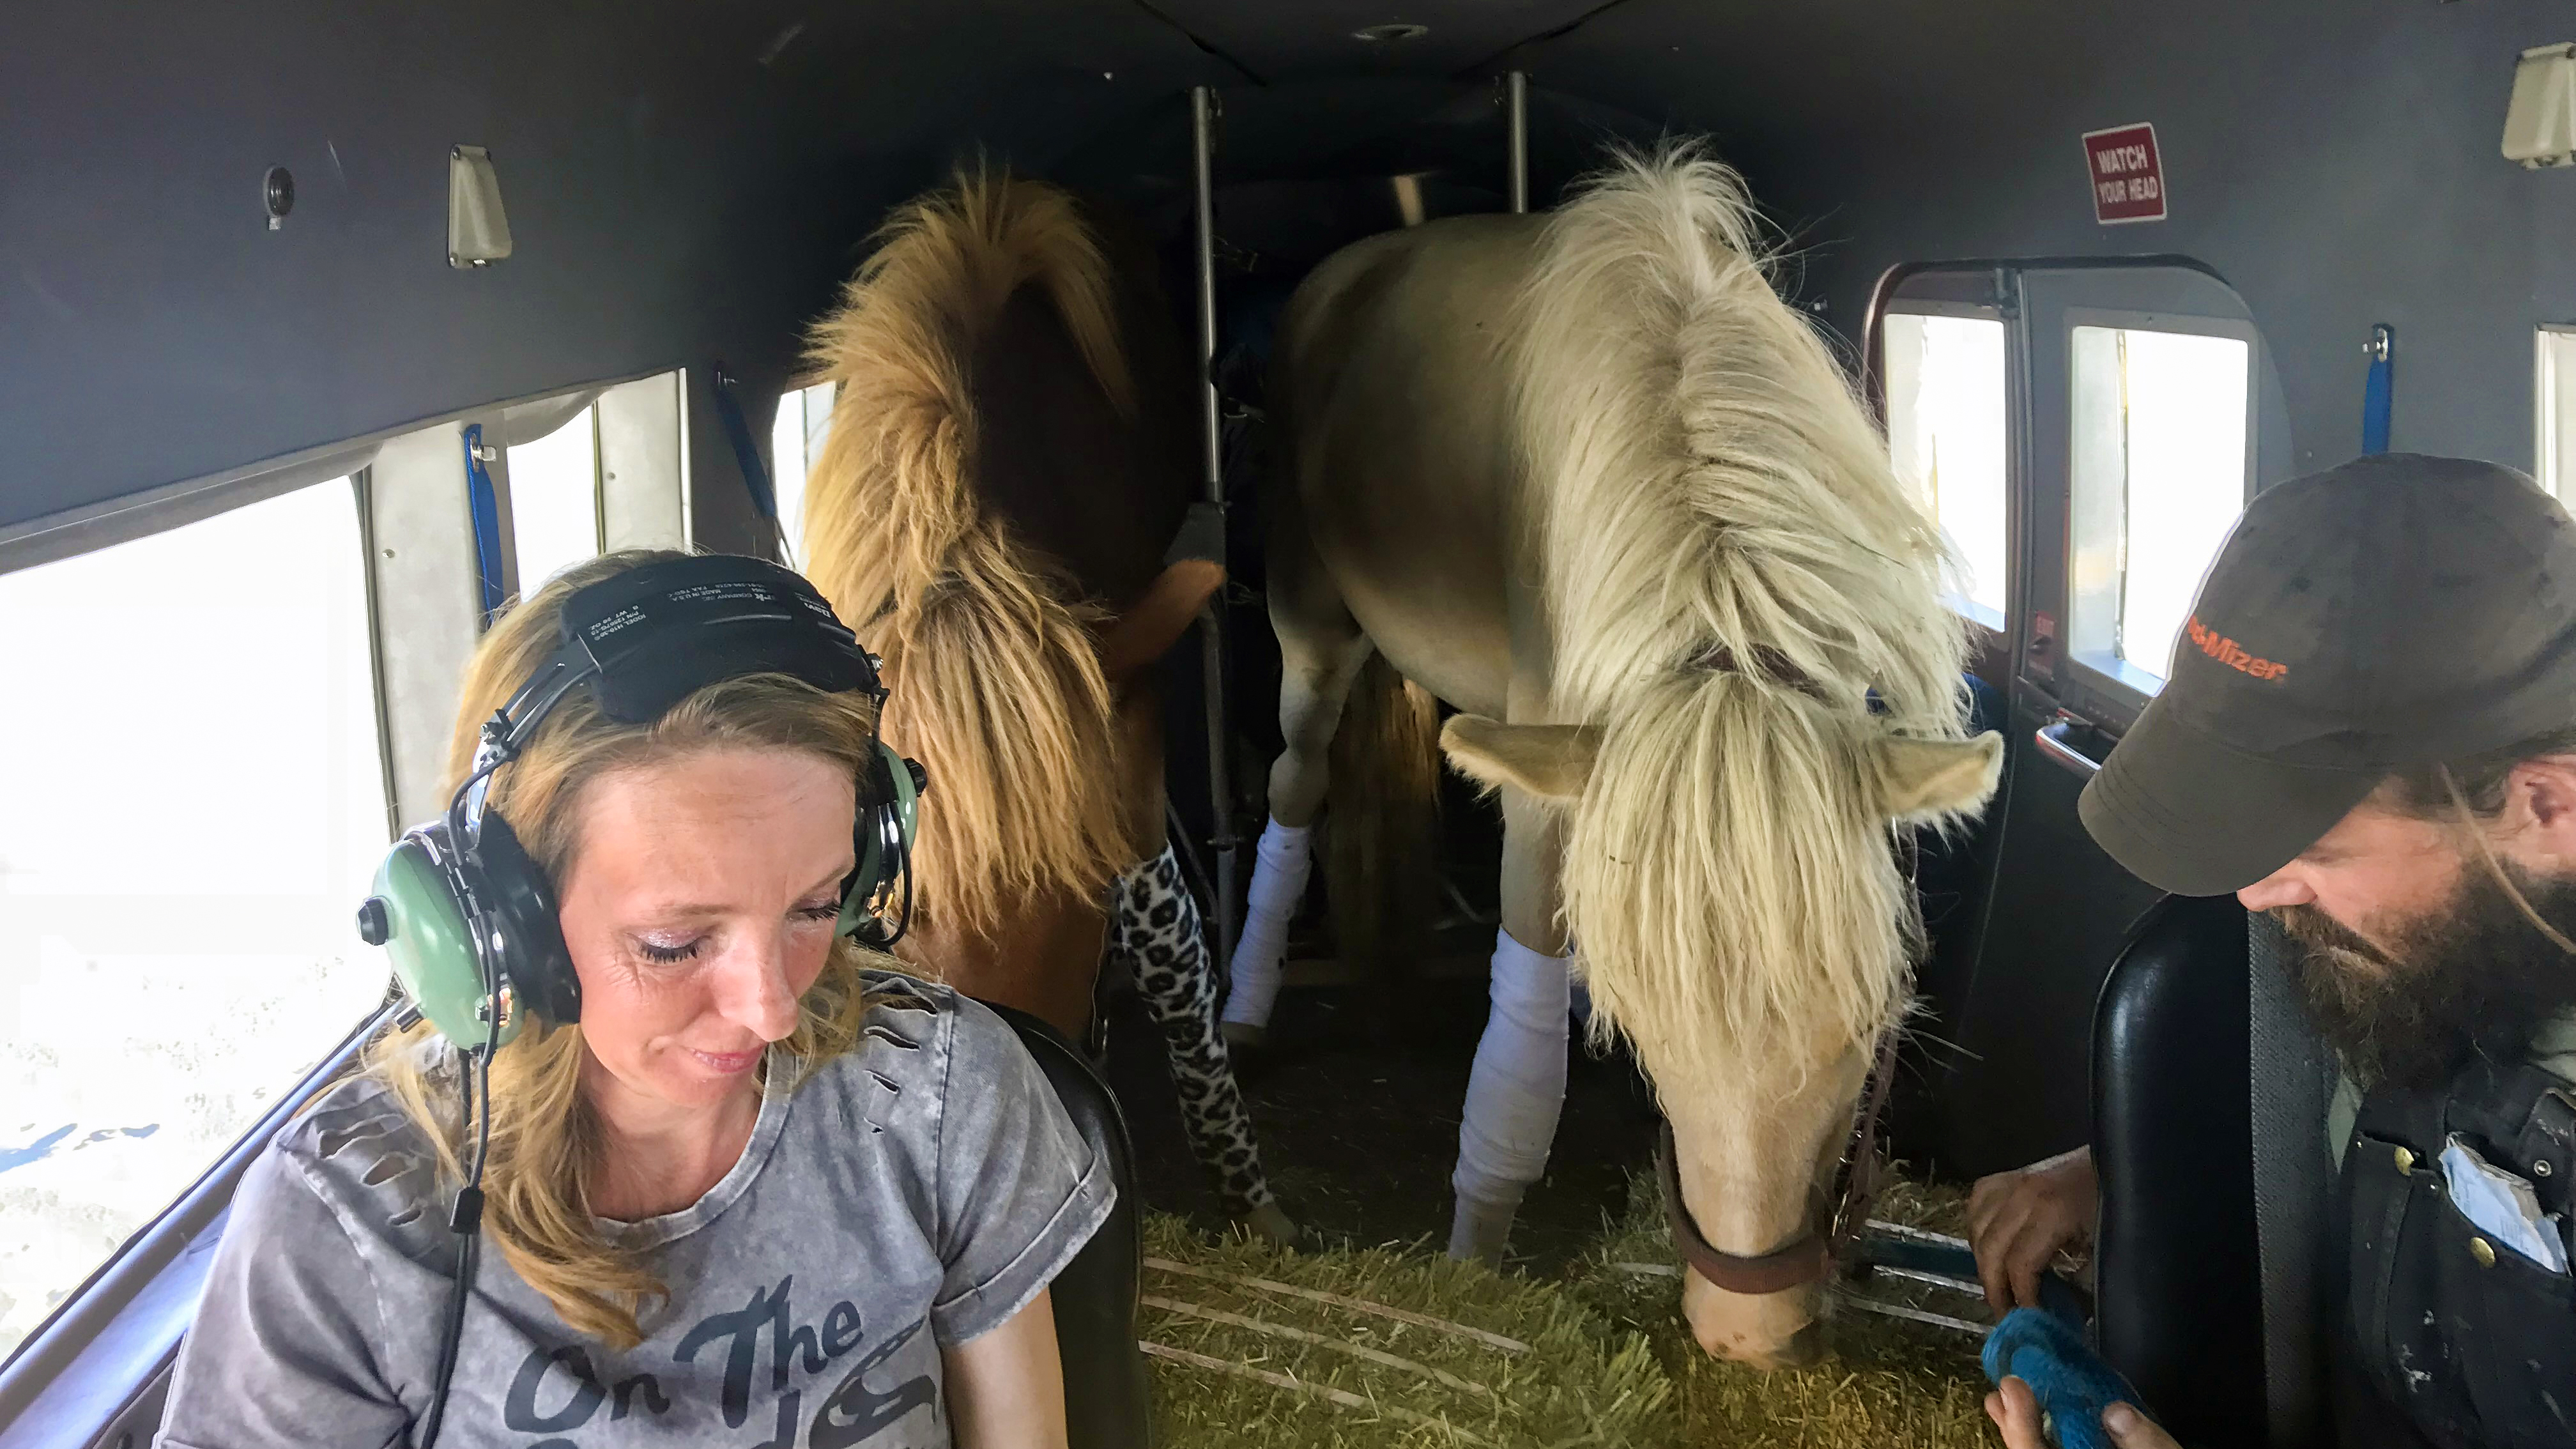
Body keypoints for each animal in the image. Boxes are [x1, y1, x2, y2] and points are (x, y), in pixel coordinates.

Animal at [1221, 144, 2002, 1365]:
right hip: (1310, 619)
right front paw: (1473, 1254)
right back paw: (1247, 1007)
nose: (1744, 1333)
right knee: (1294, 783)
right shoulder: (1551, 781)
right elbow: (1521, 1033)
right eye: (1645, 1039)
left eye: (1867, 1029)